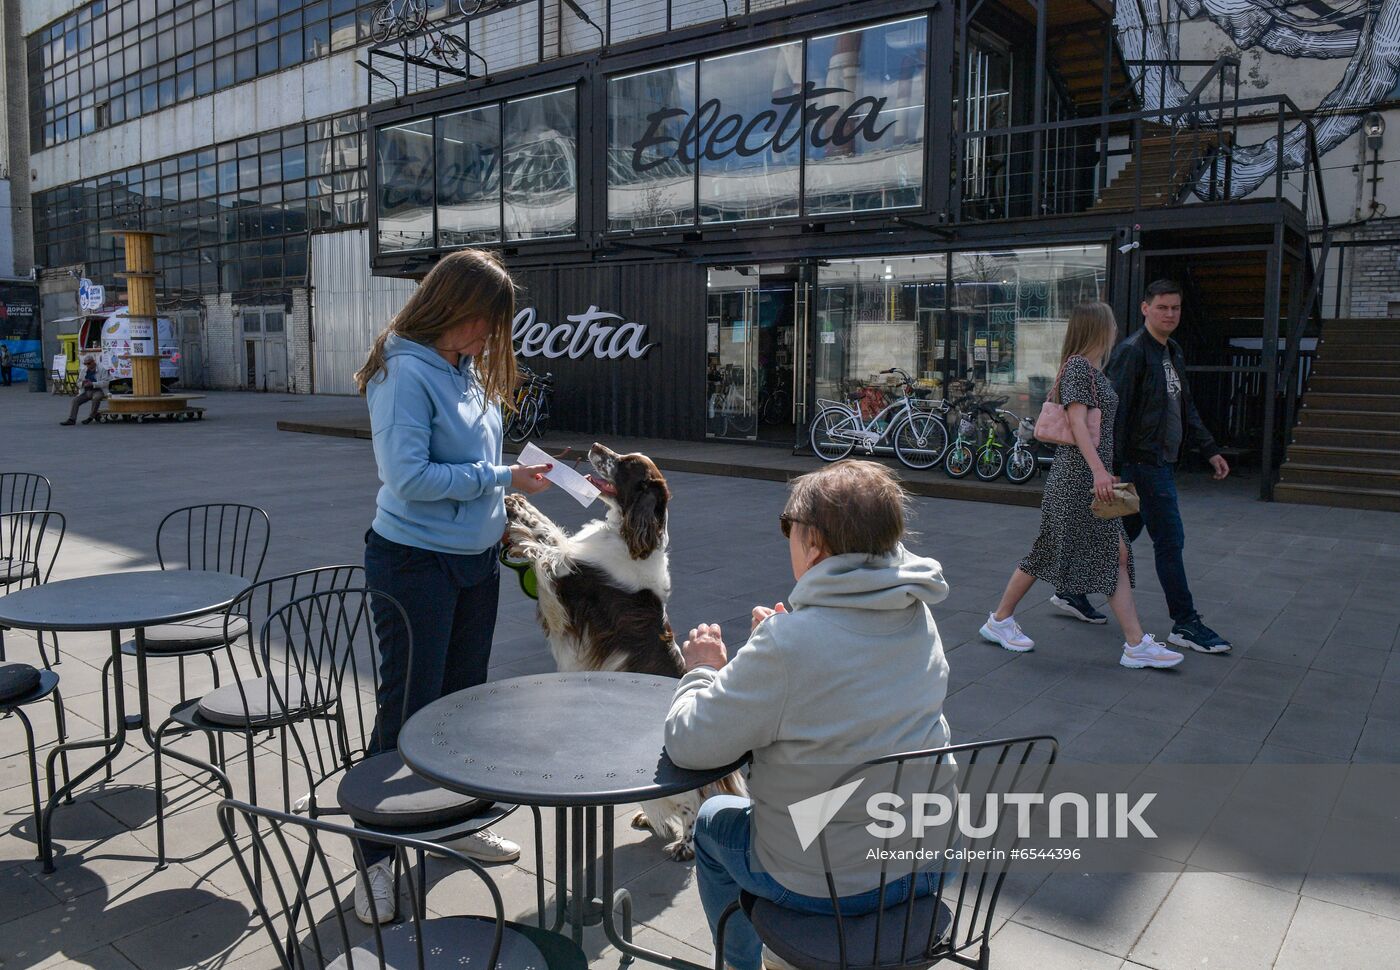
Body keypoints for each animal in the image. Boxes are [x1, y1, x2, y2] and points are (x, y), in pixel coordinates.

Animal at [506, 442, 744, 856]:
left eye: (626, 464)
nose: (595, 446)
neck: (627, 535)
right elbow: (550, 531)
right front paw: (518, 500)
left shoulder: (568, 581)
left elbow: (548, 540)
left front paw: (518, 512)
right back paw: (646, 819)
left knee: (693, 802)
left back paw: (685, 844)